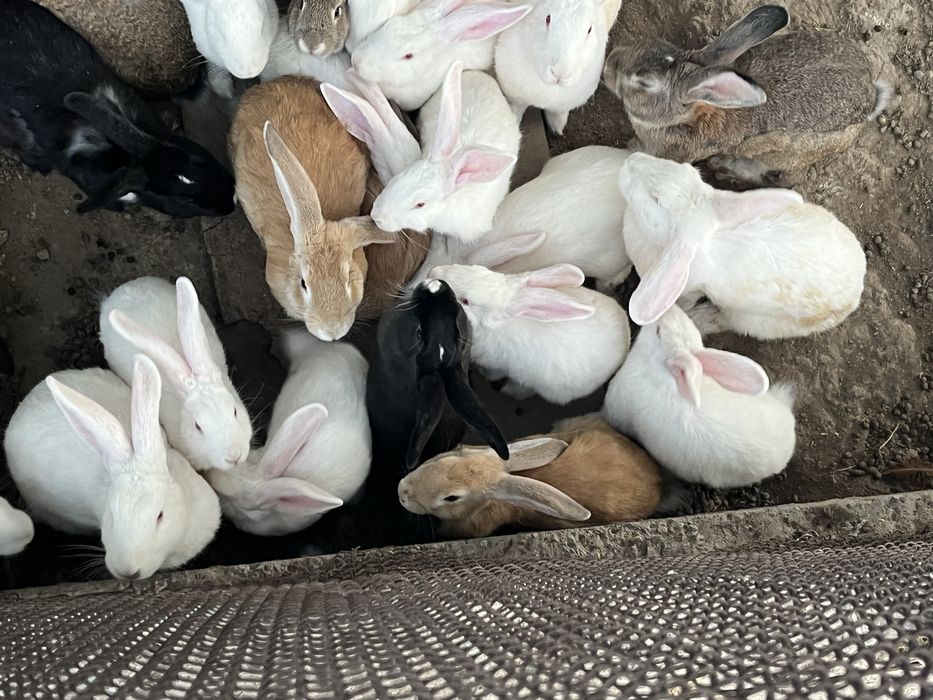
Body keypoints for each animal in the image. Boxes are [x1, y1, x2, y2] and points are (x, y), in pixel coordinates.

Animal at [431, 263, 630, 404]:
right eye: (476, 267)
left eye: (465, 301)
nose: (433, 272)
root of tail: (626, 340)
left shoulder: (496, 365)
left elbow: (492, 374)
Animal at [494, 0, 622, 135]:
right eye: (548, 18)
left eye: (589, 29)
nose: (560, 74)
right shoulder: (516, 96)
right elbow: (516, 109)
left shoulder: (563, 105)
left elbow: (556, 113)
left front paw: (557, 129)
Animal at [602, 5, 891, 181]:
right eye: (653, 44)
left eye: (644, 83)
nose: (607, 67)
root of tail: (871, 95)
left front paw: (632, 147)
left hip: (787, 153)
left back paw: (725, 168)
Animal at [618, 152, 867, 339]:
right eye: (687, 168)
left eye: (656, 199)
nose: (632, 159)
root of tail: (859, 283)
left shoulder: (689, 289)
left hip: (752, 320)